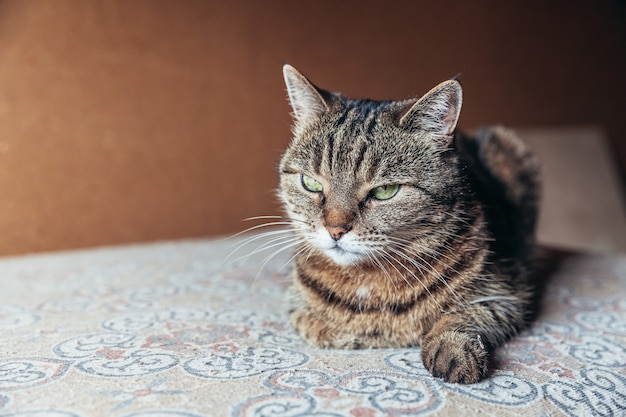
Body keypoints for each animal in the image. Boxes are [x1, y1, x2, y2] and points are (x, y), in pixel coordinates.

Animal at [276, 63, 540, 382]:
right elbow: (318, 326)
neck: (368, 280)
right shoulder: (295, 306)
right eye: (311, 183)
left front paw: (452, 348)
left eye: (385, 191)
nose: (335, 229)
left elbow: (466, 315)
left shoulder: (511, 292)